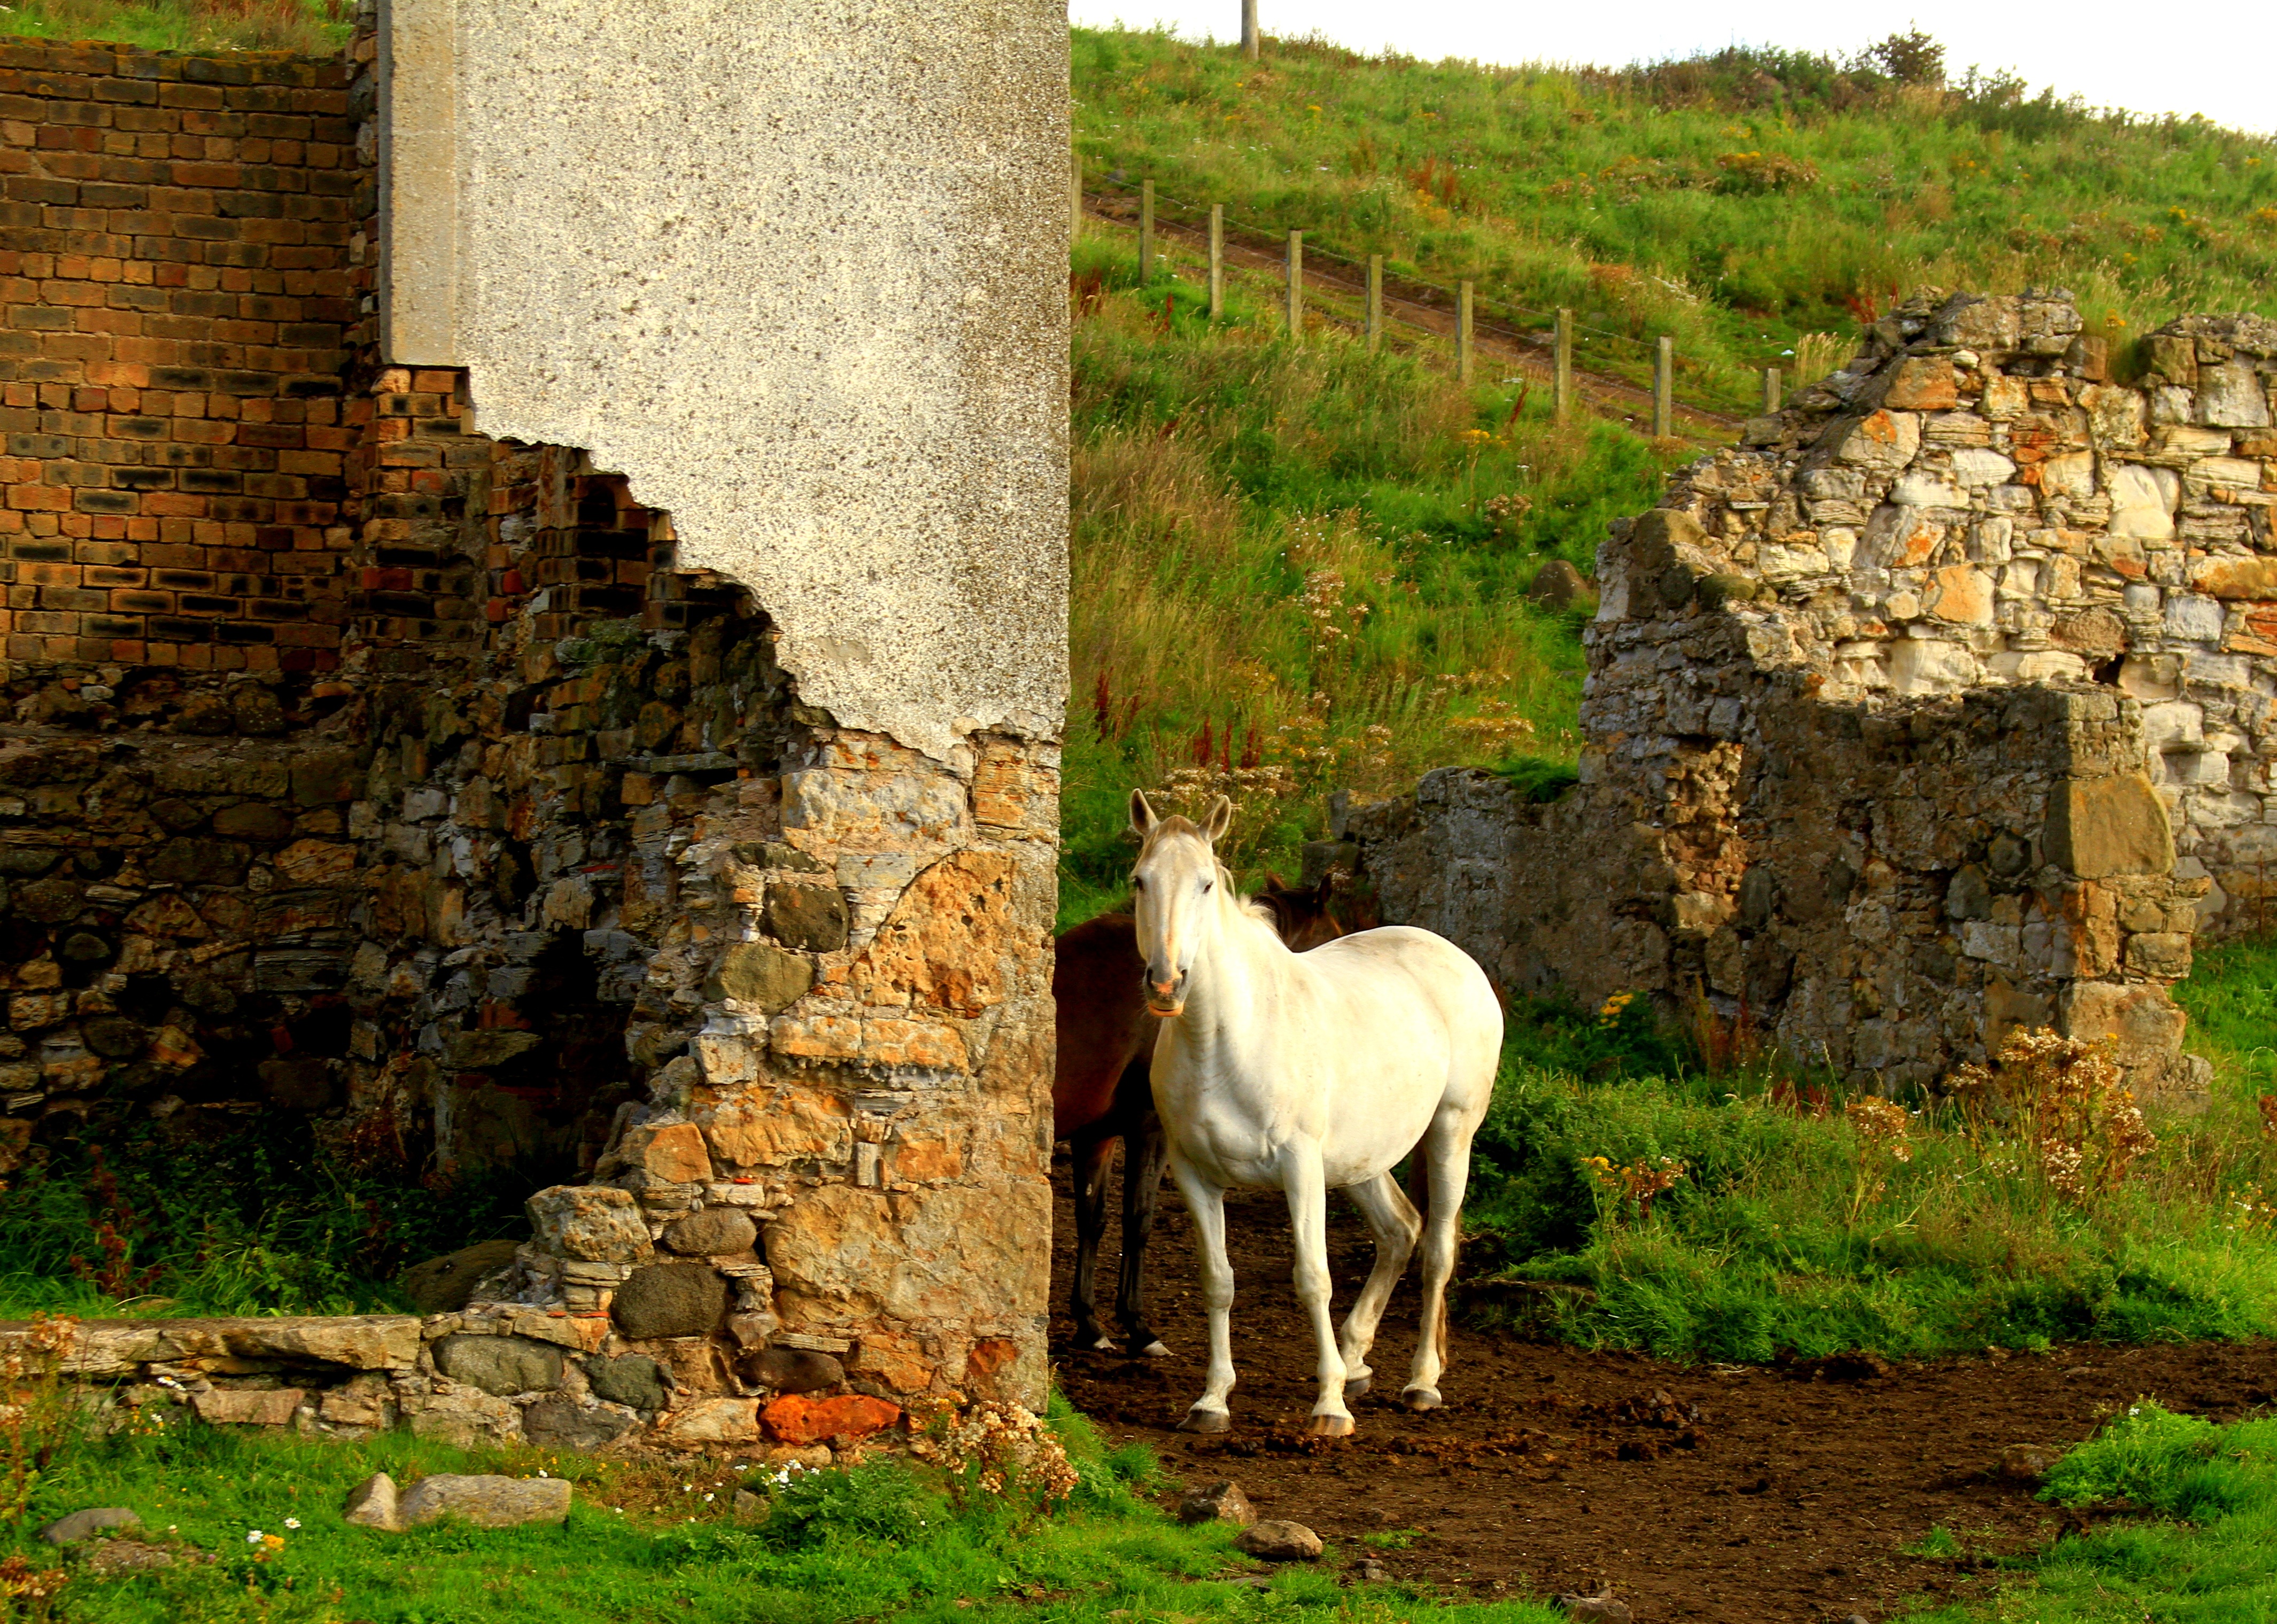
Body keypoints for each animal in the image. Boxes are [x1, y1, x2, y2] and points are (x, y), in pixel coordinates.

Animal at [1052, 870, 1347, 1348]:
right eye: (1332, 936)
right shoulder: (1149, 1130)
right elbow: (1138, 1219)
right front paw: (1138, 1325)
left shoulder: (1097, 1134)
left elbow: (1092, 1220)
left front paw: (1090, 1323)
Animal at [1125, 788, 1512, 1430]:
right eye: (1140, 880)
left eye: (1205, 884)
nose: (1166, 984)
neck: (1223, 1038)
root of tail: (1455, 956)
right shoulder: (1194, 1174)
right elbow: (1218, 1281)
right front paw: (1212, 1400)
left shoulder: (1300, 1168)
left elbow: (1313, 1278)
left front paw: (1329, 1406)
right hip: (1364, 1159)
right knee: (1400, 1231)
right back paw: (1357, 1361)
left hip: (1452, 1132)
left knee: (1437, 1250)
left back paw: (1421, 1382)